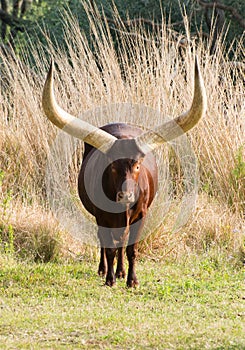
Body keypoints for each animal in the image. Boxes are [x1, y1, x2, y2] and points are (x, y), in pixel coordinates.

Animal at [42, 56, 207, 288]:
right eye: (111, 165)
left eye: (138, 165)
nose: (125, 195)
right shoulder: (102, 215)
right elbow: (109, 246)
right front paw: (110, 279)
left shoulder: (141, 215)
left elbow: (131, 249)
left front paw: (132, 280)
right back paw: (105, 270)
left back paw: (121, 272)